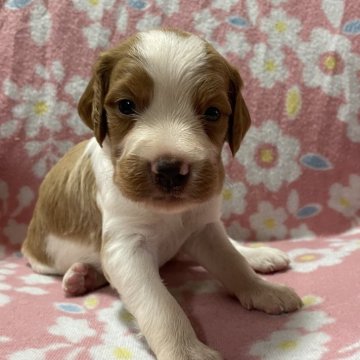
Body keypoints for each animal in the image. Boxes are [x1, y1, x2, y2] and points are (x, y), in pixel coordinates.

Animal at [22, 30, 302, 360]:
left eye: (213, 112)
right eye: (126, 105)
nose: (169, 170)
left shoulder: (203, 228)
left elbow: (232, 262)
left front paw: (262, 290)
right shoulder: (126, 246)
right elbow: (160, 303)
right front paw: (186, 350)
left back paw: (259, 255)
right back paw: (81, 276)